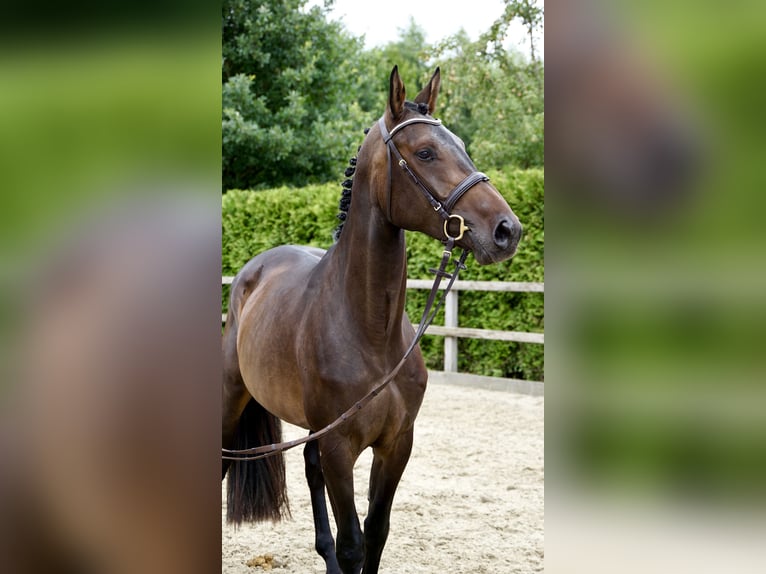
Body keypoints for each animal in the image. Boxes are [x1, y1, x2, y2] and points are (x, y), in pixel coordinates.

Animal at [222, 66, 522, 574]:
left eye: (463, 145)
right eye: (425, 152)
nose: (508, 230)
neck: (371, 333)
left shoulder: (397, 444)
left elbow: (376, 533)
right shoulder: (341, 448)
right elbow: (353, 542)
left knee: (310, 467)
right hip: (230, 399)